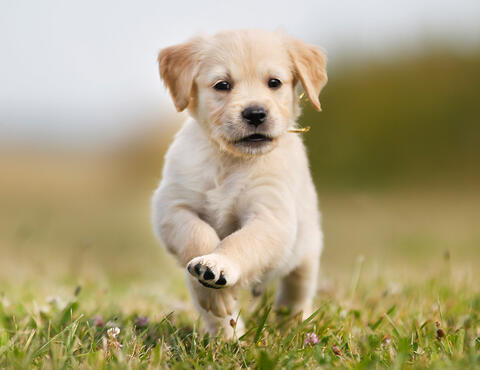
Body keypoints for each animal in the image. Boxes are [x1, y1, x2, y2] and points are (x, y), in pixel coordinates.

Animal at [152, 29, 328, 338]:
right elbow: (198, 235)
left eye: (274, 82)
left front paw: (219, 264)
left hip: (307, 253)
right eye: (222, 85)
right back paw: (229, 338)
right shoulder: (172, 207)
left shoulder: (271, 217)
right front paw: (214, 289)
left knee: (295, 294)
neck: (230, 161)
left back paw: (293, 328)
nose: (255, 113)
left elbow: (241, 242)